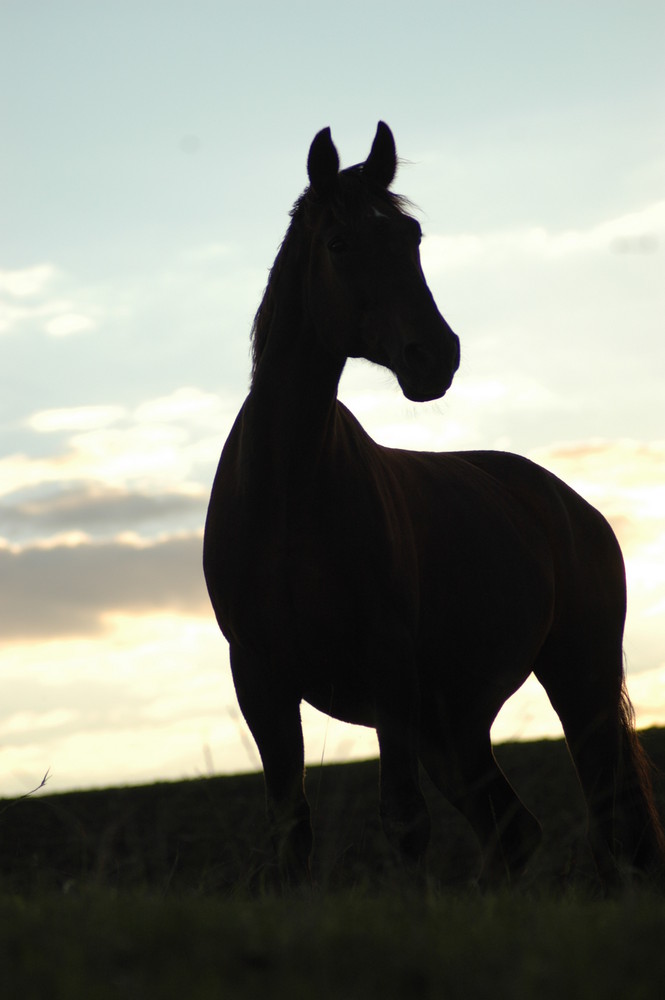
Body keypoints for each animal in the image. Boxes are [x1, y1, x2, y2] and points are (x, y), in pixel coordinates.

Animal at [204, 121, 664, 888]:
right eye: (339, 243)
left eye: (410, 236)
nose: (435, 357)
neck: (287, 495)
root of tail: (569, 506)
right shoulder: (261, 684)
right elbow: (292, 836)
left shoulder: (389, 676)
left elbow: (403, 824)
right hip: (454, 727)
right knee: (514, 831)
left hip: (580, 678)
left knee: (610, 824)